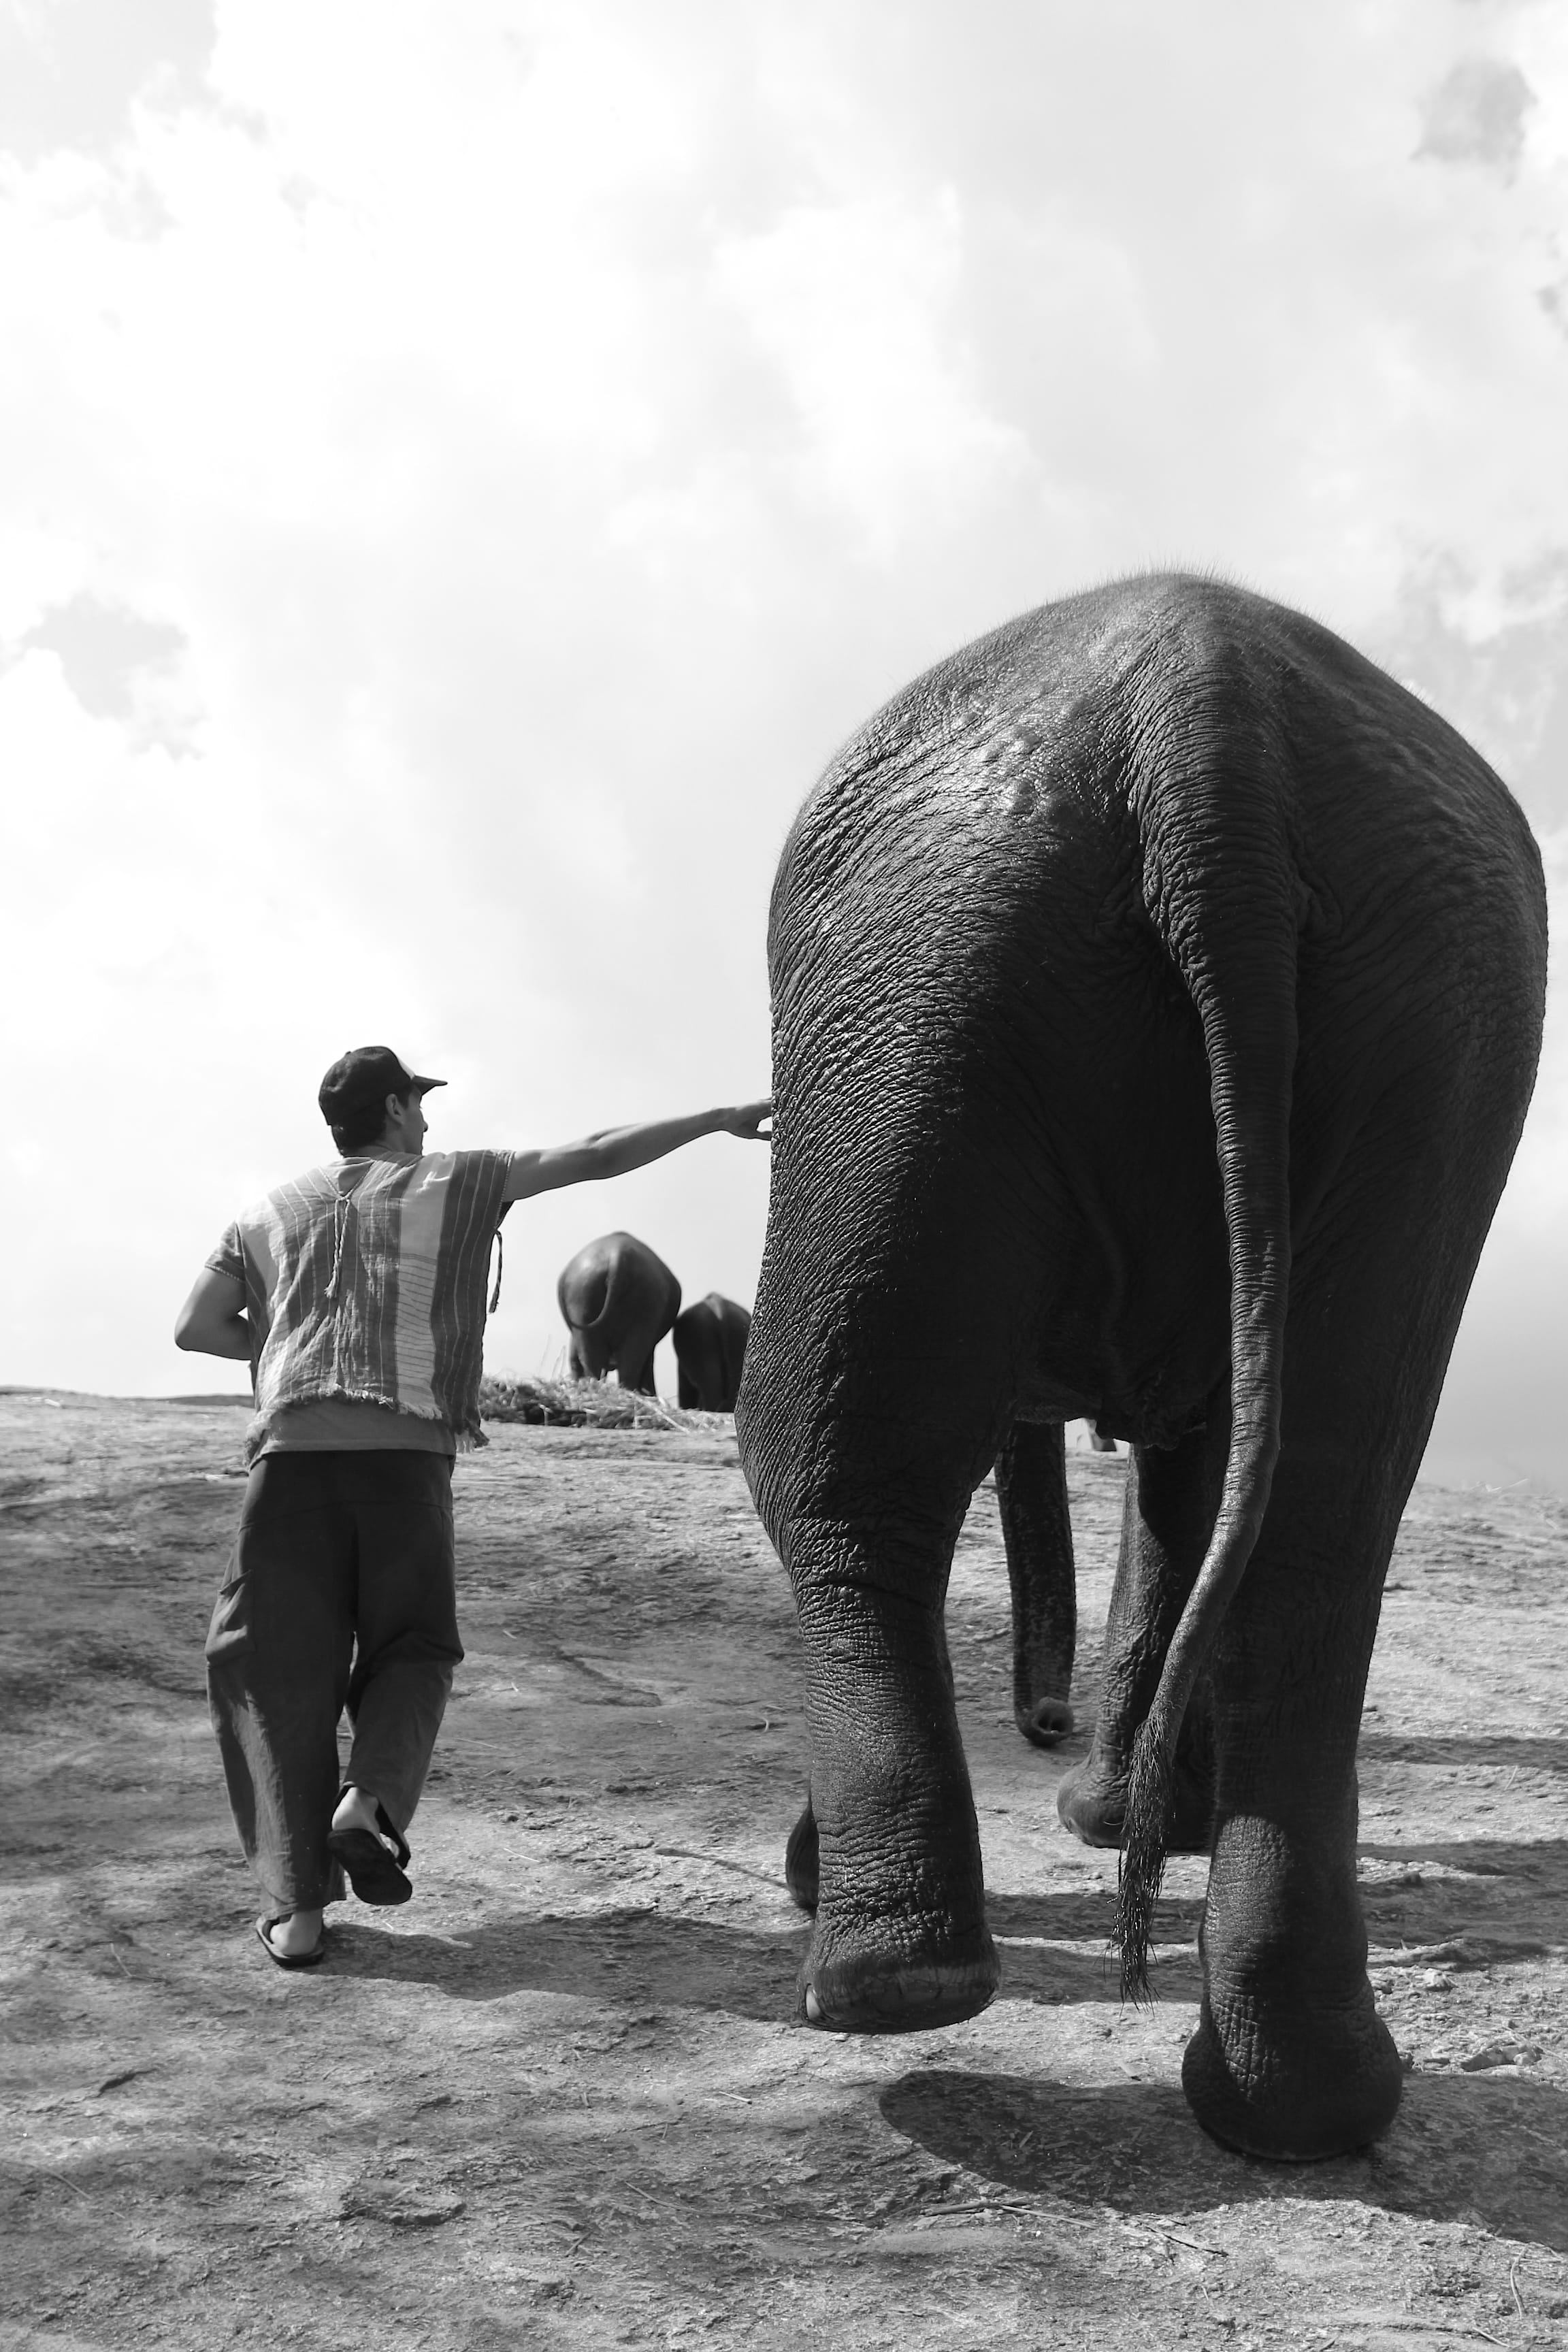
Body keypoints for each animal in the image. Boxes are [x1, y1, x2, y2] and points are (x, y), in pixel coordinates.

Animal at [736, 573, 1546, 2162]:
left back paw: (890, 1985)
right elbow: (1200, 1467)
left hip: (920, 975)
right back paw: (1300, 2106)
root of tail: (1204, 719)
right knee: (1323, 1517)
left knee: (826, 1459)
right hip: (1432, 1011)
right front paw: (1127, 1823)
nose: (1042, 1724)